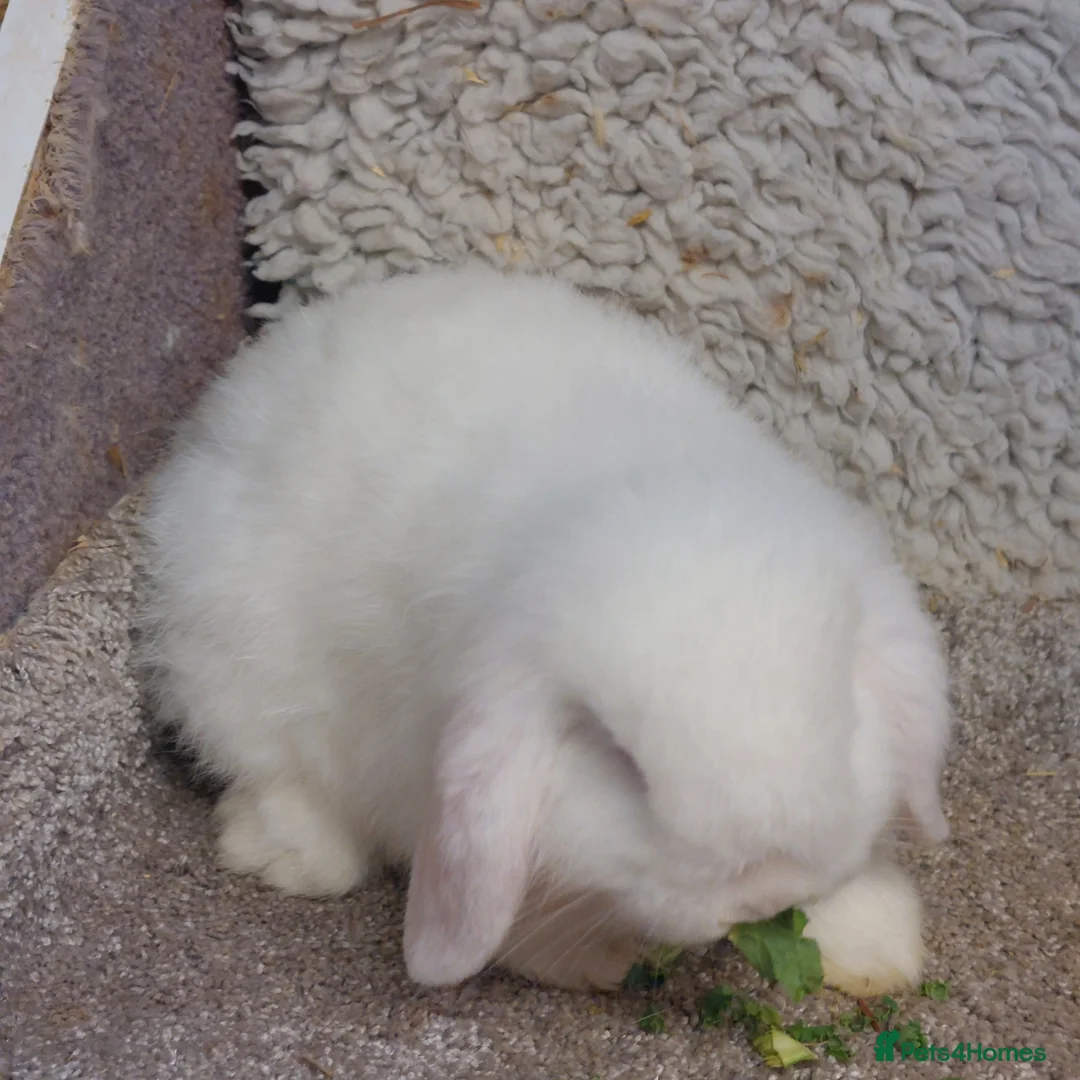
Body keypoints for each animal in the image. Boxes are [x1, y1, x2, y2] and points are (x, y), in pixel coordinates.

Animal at [141, 265, 951, 993]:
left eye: (843, 721)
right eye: (622, 763)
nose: (768, 893)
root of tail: (244, 388)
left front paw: (877, 946)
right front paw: (601, 963)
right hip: (231, 666)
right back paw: (277, 848)